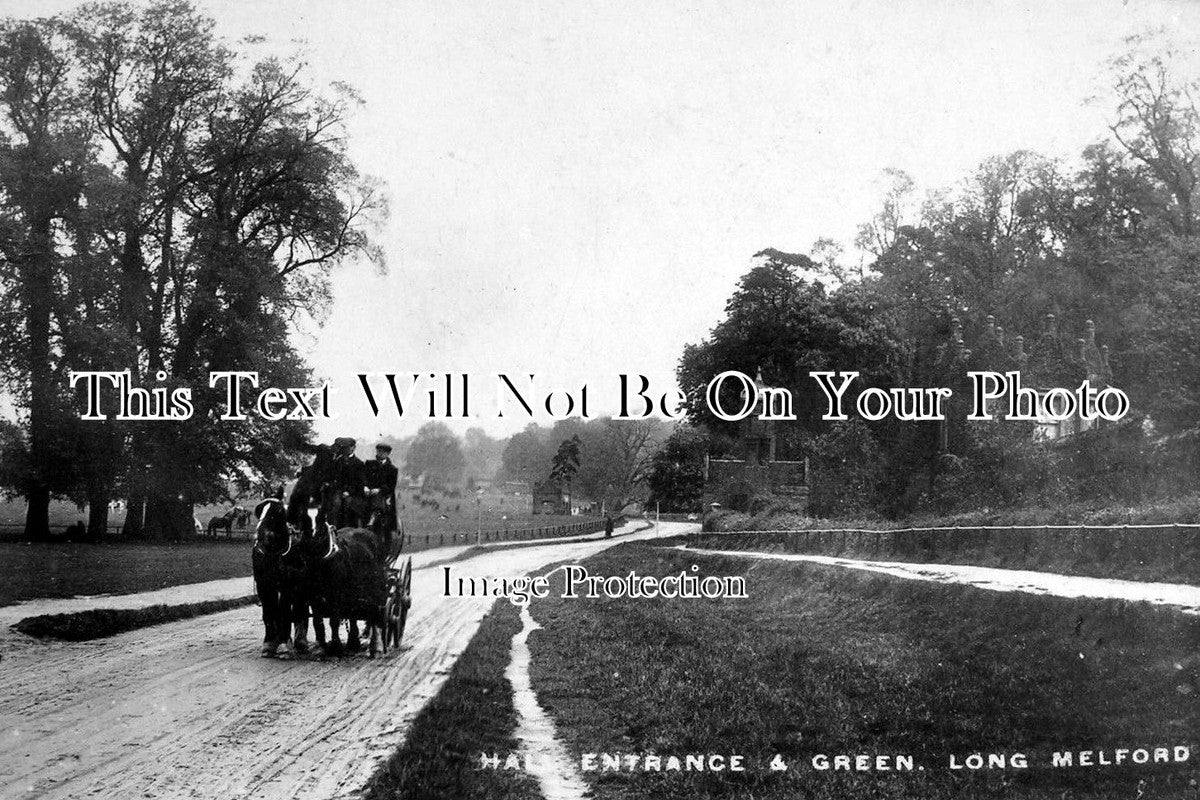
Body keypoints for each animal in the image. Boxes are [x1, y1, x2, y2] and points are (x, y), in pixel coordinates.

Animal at [250, 491, 309, 662]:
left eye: (278, 511)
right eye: (259, 510)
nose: (259, 535)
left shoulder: (286, 585)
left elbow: (284, 611)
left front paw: (283, 645)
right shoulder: (264, 584)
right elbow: (269, 612)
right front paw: (269, 643)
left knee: (299, 610)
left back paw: (300, 641)